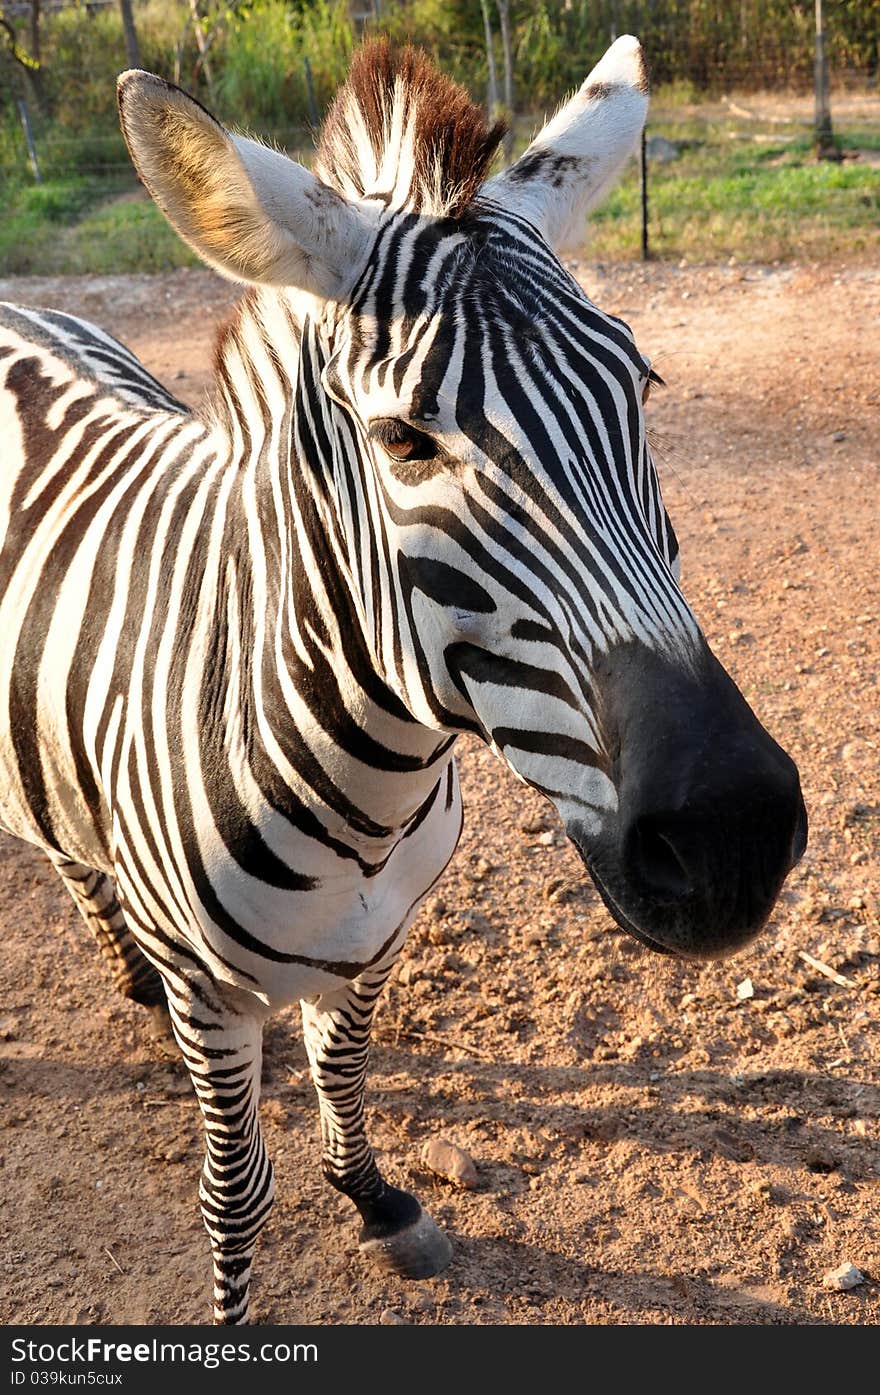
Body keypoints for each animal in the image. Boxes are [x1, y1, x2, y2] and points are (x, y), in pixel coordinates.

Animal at [0, 29, 803, 1316]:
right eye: (402, 442)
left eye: (641, 391)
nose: (727, 837)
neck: (363, 799)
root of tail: (21, 306)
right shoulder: (215, 1004)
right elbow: (236, 1194)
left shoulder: (375, 947)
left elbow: (346, 1080)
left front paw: (376, 1197)